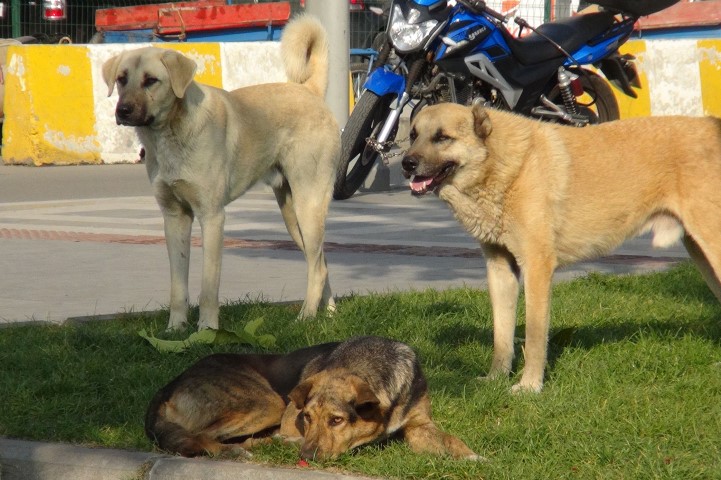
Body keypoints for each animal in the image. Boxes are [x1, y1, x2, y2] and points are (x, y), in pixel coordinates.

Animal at [101, 15, 340, 330]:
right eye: (121, 79)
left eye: (151, 80)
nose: (123, 111)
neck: (171, 133)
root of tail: (309, 90)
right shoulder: (175, 218)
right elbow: (178, 286)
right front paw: (175, 328)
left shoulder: (212, 217)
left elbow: (208, 286)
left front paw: (207, 329)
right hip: (292, 215)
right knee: (321, 263)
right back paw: (330, 314)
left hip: (308, 205)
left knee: (317, 267)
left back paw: (305, 318)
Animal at [145, 336, 478, 460]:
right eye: (306, 417)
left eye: (337, 420)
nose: (307, 457)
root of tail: (169, 385)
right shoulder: (291, 417)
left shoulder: (420, 425)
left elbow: (451, 439)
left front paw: (473, 457)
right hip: (268, 404)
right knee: (200, 437)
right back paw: (238, 452)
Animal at [400, 103, 720, 392]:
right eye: (413, 135)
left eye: (442, 137)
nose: (406, 164)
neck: (502, 165)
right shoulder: (501, 270)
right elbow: (501, 335)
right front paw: (495, 379)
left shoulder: (537, 268)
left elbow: (534, 336)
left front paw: (529, 386)